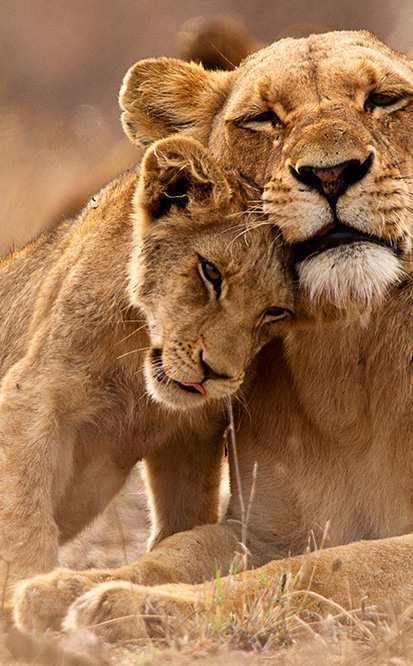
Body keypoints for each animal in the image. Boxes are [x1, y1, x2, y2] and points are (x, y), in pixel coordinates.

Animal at [14, 30, 413, 641]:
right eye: (262, 118)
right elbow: (178, 550)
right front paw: (68, 589)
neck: (353, 358)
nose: (331, 173)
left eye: (387, 100)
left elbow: (323, 568)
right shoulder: (264, 529)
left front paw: (130, 608)